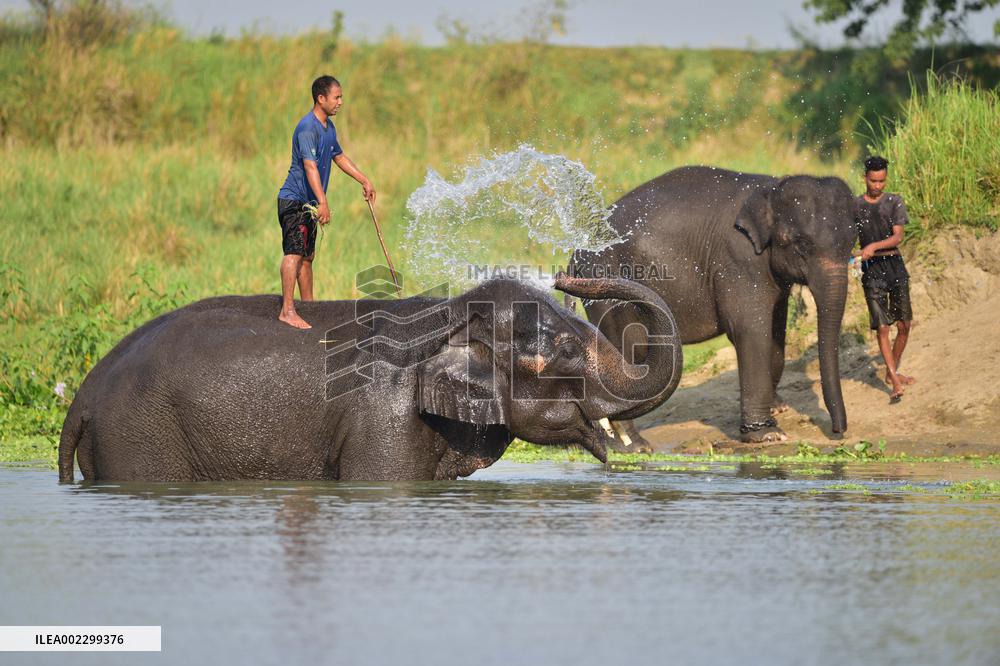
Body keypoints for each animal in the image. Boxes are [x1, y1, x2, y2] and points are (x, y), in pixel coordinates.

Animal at [58, 274, 683, 482]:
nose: (564, 275)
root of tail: (83, 393)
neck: (451, 311)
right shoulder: (383, 417)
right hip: (141, 433)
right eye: (568, 352)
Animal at [568, 166, 856, 445]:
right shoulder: (738, 261)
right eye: (801, 245)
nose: (837, 432)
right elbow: (750, 331)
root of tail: (574, 253)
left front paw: (778, 408)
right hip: (607, 287)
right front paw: (767, 435)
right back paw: (637, 446)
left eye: (852, 242)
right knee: (627, 353)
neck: (770, 188)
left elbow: (775, 331)